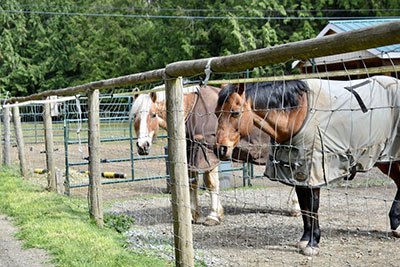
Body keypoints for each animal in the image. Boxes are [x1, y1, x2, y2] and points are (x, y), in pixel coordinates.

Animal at [130, 84, 302, 226]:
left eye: (153, 115)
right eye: (135, 116)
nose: (142, 146)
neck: (191, 109)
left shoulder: (208, 153)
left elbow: (211, 183)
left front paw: (213, 216)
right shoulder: (191, 152)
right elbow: (192, 183)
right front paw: (193, 214)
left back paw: (295, 208)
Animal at [214, 76, 400, 258]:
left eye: (235, 112)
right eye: (216, 113)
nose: (220, 149)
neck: (297, 115)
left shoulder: (312, 173)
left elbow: (312, 206)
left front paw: (312, 243)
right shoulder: (298, 173)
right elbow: (304, 207)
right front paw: (305, 240)